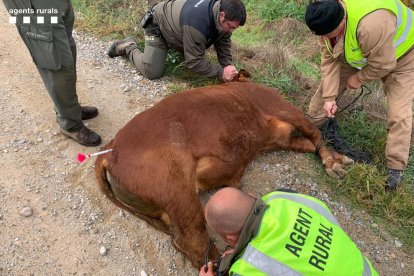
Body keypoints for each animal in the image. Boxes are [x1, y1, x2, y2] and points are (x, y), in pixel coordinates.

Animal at [94, 78, 352, 268]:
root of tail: (108, 150)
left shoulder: (282, 137)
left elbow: (310, 143)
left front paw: (338, 160)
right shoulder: (282, 107)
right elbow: (315, 131)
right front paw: (336, 164)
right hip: (177, 191)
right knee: (192, 241)